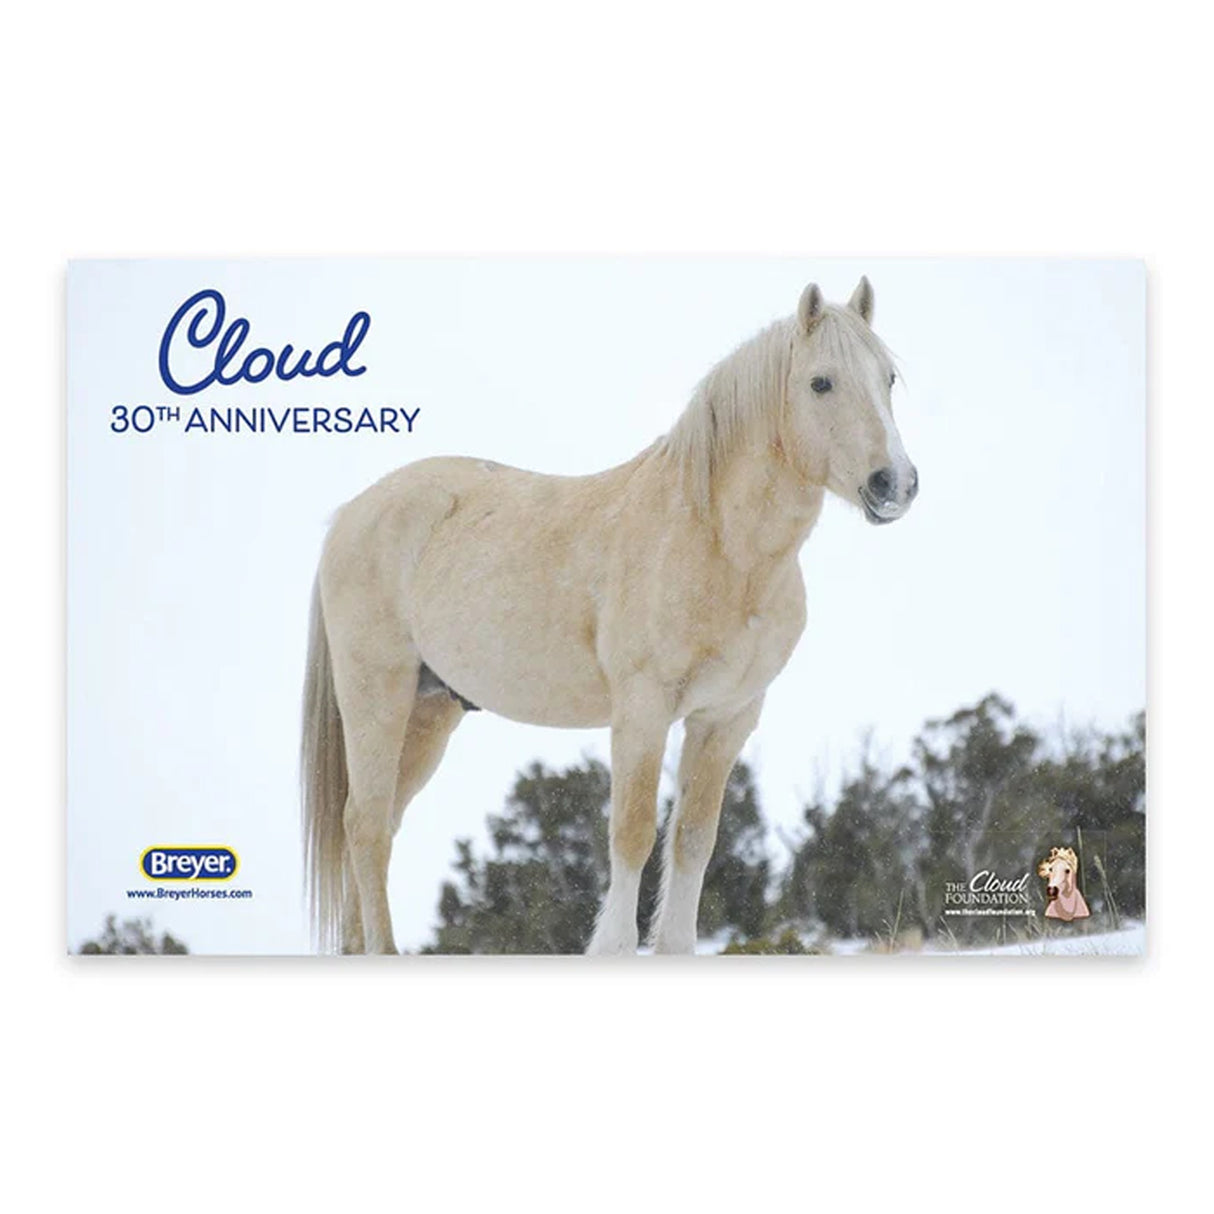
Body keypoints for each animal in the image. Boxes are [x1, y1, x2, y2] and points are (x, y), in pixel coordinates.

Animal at [301, 277, 918, 954]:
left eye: (888, 378)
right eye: (820, 382)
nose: (895, 484)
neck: (719, 547)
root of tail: (352, 514)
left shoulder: (726, 718)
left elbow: (694, 840)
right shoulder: (643, 709)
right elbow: (633, 833)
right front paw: (616, 947)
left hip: (430, 711)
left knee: (374, 822)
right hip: (377, 697)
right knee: (366, 827)